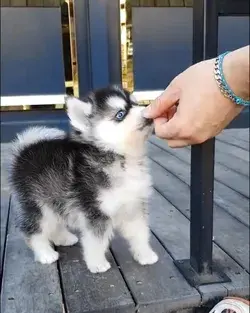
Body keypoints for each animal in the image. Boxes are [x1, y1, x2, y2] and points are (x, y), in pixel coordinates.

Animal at [9, 84, 159, 270]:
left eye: (135, 103)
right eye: (120, 114)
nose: (147, 111)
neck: (122, 158)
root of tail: (25, 150)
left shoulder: (134, 206)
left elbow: (140, 233)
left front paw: (145, 254)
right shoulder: (95, 211)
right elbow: (97, 241)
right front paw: (97, 264)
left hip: (56, 200)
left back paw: (64, 238)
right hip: (38, 205)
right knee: (34, 231)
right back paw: (45, 253)